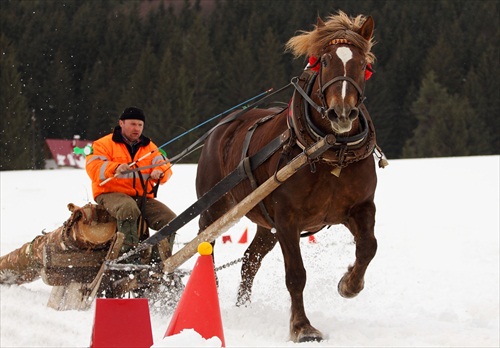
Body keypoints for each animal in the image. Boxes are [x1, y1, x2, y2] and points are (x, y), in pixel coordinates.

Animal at [195, 10, 382, 342]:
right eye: (325, 61)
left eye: (363, 64)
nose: (342, 113)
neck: (329, 149)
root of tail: (222, 126)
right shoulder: (287, 219)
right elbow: (296, 275)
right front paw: (302, 327)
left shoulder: (359, 207)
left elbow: (368, 247)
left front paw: (349, 284)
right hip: (216, 207)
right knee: (205, 241)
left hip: (265, 224)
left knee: (249, 261)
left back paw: (244, 307)